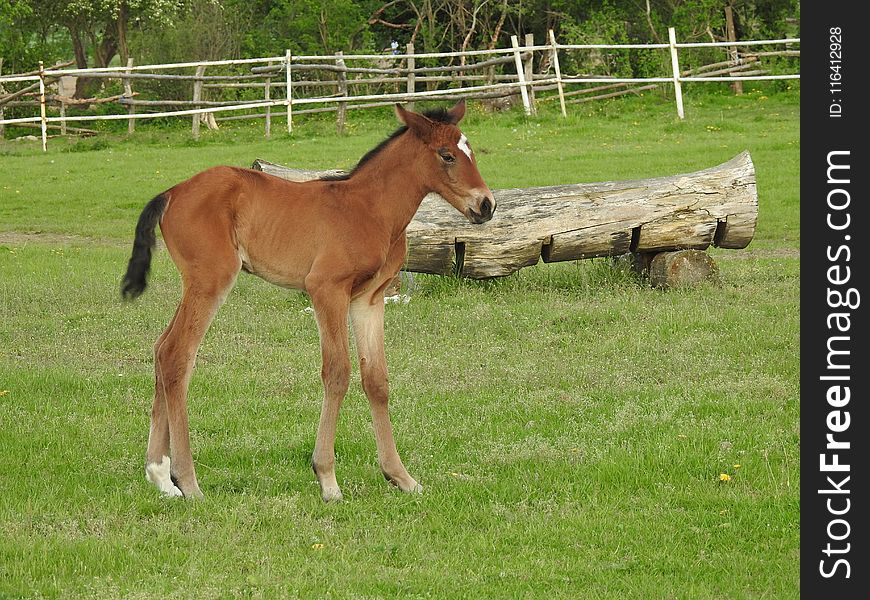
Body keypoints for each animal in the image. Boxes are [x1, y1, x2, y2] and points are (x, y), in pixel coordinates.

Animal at [121, 99, 498, 502]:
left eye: (471, 152)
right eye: (446, 155)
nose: (486, 205)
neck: (370, 208)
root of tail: (172, 192)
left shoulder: (369, 298)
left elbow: (376, 379)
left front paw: (400, 476)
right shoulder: (326, 290)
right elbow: (337, 373)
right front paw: (327, 479)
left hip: (198, 284)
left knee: (162, 349)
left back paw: (160, 476)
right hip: (211, 279)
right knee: (177, 353)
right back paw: (188, 482)